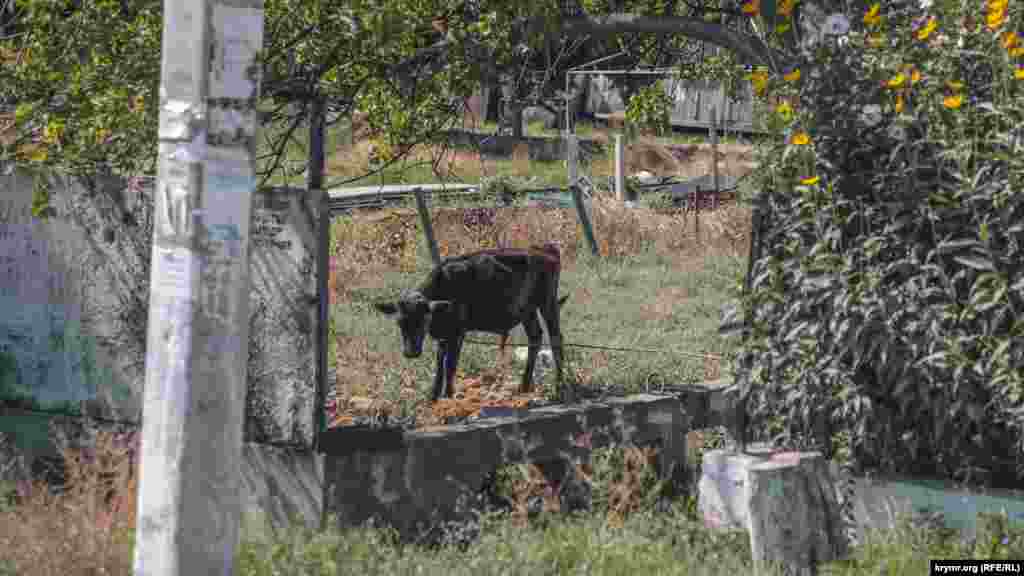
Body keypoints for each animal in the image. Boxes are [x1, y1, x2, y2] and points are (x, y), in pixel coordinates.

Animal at [374, 240, 577, 399]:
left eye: (423, 320)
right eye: (399, 322)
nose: (410, 352)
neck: (443, 286)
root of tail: (544, 248)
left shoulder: (457, 333)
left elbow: (450, 365)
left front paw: (448, 395)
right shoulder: (444, 335)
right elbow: (440, 363)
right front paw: (434, 395)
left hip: (547, 302)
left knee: (556, 338)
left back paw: (559, 386)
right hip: (527, 310)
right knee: (535, 337)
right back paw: (525, 386)